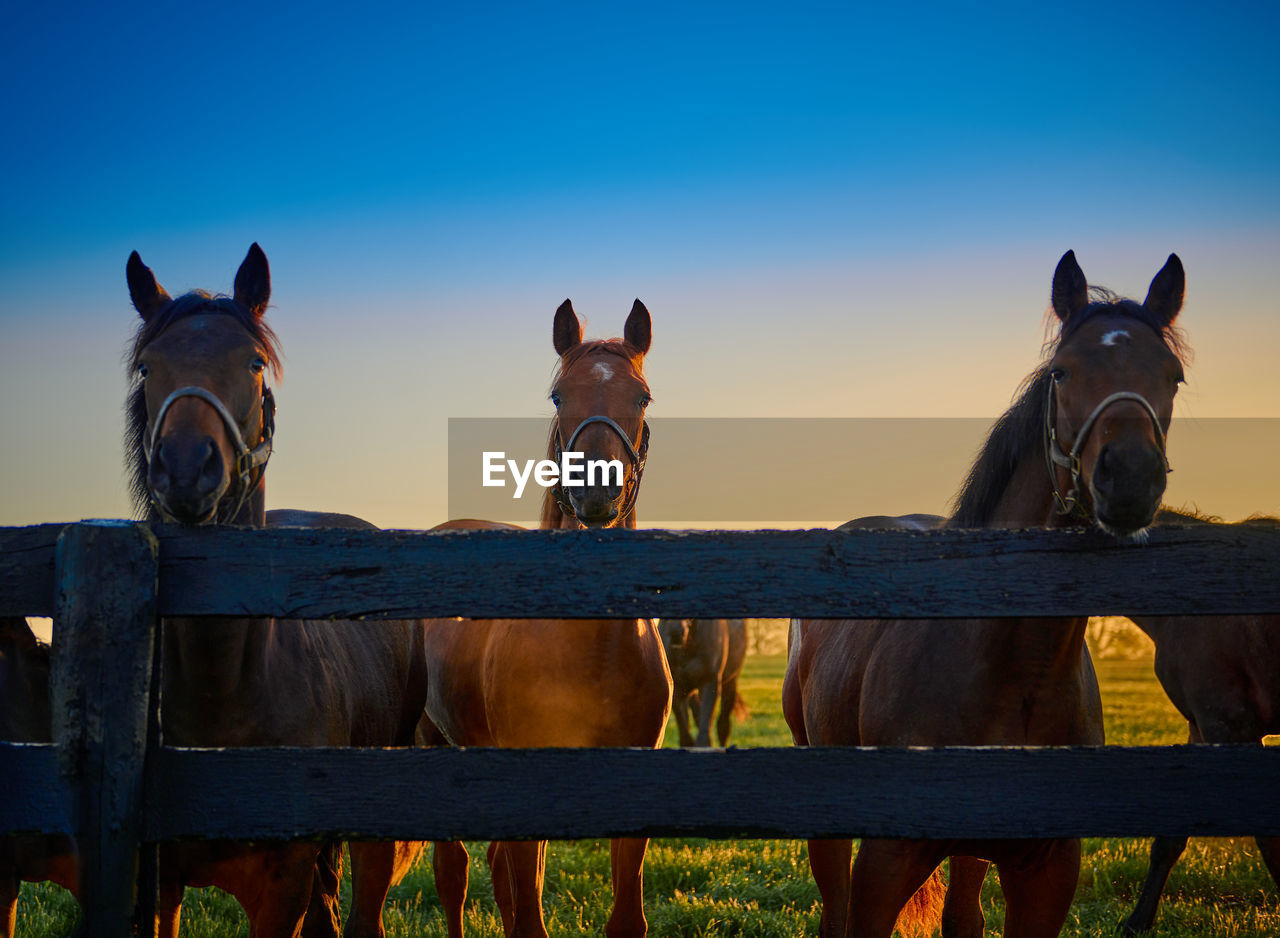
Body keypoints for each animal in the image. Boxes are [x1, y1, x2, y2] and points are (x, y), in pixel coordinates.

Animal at [778, 250, 1187, 936]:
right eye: (1061, 372)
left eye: (1173, 376)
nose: (1130, 476)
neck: (1012, 670)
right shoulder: (884, 864)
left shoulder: (1048, 873)